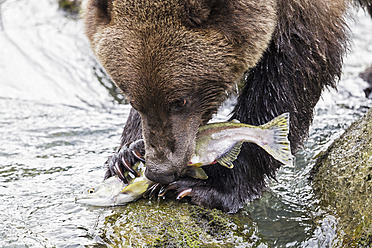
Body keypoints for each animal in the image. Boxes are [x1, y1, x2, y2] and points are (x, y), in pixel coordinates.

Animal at [83, 0, 372, 213]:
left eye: (181, 100)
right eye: (133, 98)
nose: (160, 172)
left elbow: (292, 67)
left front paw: (207, 187)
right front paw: (126, 156)